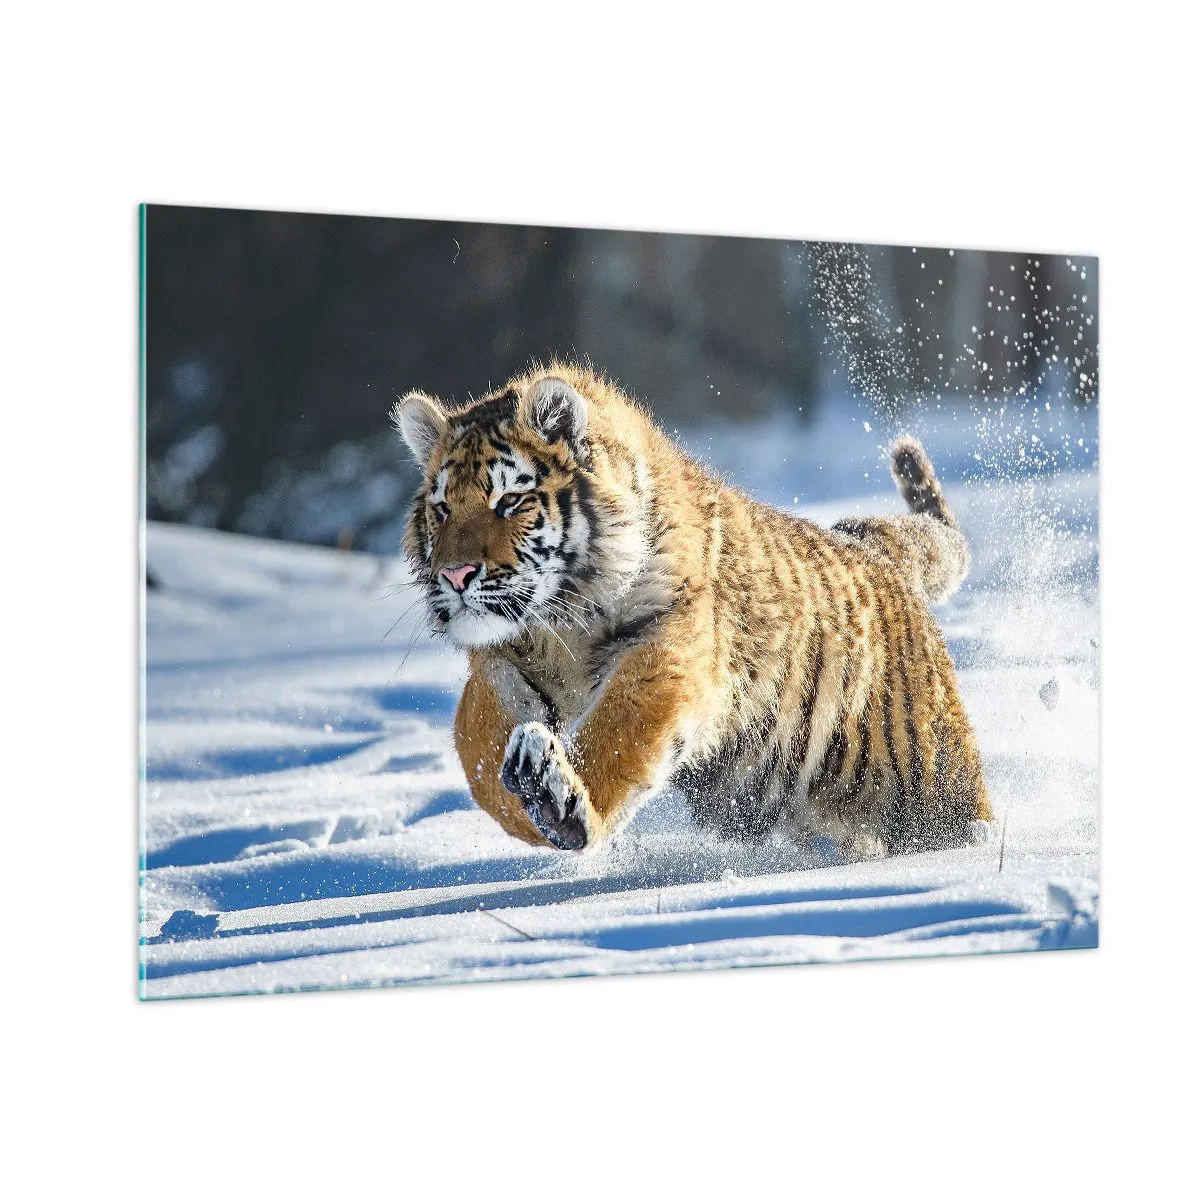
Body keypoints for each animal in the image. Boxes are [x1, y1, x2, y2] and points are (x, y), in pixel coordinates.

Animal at [391, 362, 992, 860]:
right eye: (442, 509)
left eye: (510, 501)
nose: (454, 576)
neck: (559, 623)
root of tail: (875, 548)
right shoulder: (497, 665)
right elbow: (477, 753)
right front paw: (526, 794)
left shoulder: (665, 650)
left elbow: (618, 732)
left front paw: (559, 802)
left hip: (933, 781)